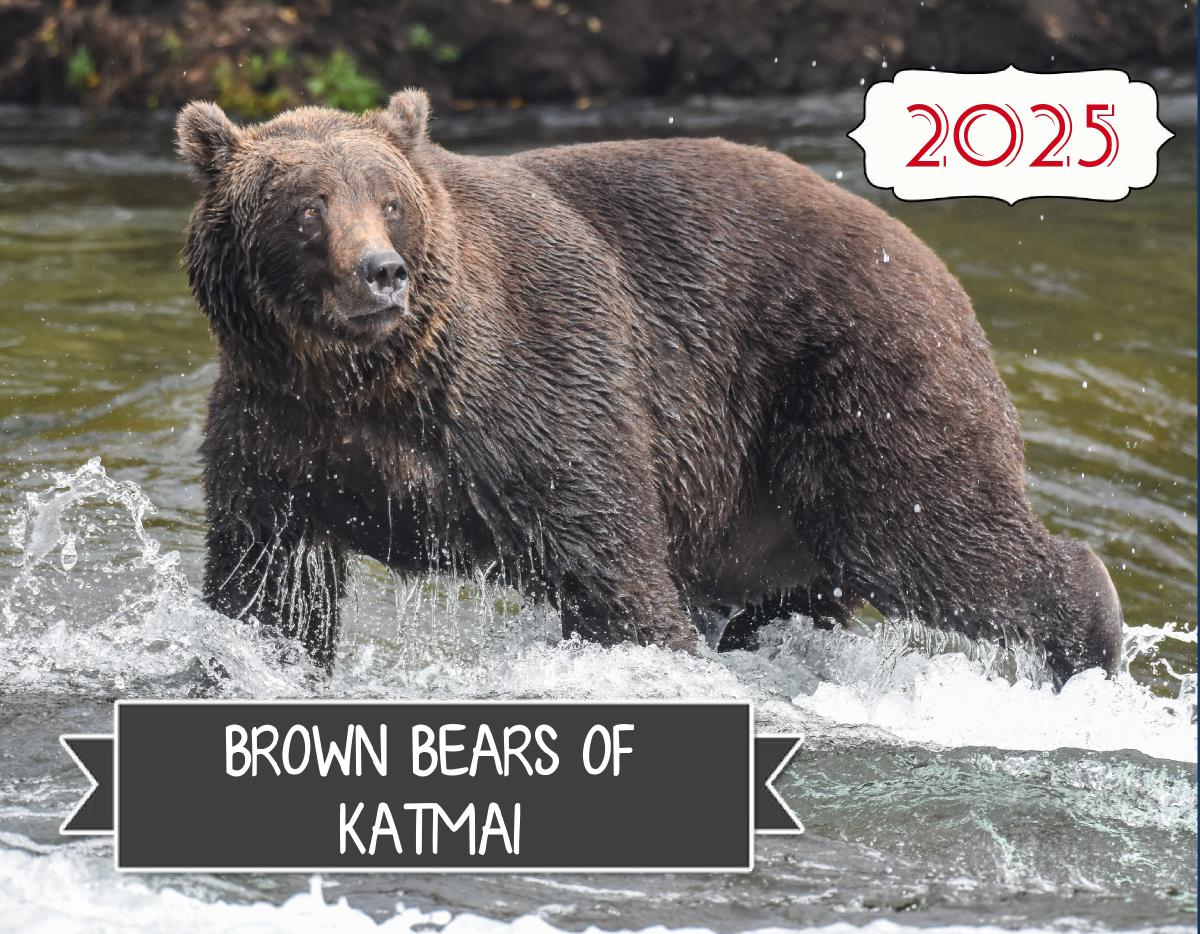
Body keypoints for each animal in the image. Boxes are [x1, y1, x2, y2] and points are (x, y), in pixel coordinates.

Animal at [176, 88, 1123, 687]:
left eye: (389, 200)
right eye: (306, 208)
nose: (381, 273)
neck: (373, 378)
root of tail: (928, 257)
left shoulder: (537, 392)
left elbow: (611, 566)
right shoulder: (281, 434)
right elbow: (269, 587)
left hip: (853, 377)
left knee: (924, 532)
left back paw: (1091, 643)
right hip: (760, 492)